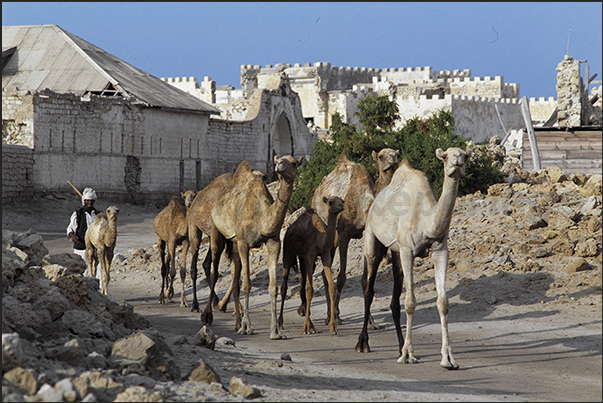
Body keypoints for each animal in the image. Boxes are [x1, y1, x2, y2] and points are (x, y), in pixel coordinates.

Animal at [209, 156, 302, 340]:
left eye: (294, 163)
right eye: (279, 159)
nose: (279, 164)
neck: (263, 216)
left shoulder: (274, 242)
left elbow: (273, 287)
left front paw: (275, 331)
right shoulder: (244, 242)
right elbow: (247, 285)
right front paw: (247, 327)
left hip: (234, 243)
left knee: (234, 276)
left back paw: (236, 322)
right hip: (217, 231)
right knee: (214, 270)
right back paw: (208, 316)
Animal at [280, 197, 344, 336]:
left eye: (341, 200)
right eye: (330, 202)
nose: (341, 206)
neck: (320, 239)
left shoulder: (325, 255)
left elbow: (332, 287)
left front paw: (333, 327)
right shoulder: (310, 255)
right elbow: (310, 290)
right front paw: (308, 327)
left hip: (302, 258)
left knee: (303, 277)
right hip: (288, 253)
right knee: (283, 286)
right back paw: (280, 323)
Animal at [312, 148, 402, 328]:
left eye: (396, 153)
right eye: (381, 156)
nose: (393, 159)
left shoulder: (367, 235)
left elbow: (366, 280)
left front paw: (371, 323)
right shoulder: (344, 235)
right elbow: (341, 277)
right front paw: (337, 316)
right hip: (328, 232)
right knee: (327, 272)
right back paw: (330, 316)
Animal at [354, 147, 472, 370]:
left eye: (466, 155)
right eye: (445, 156)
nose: (457, 161)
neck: (427, 221)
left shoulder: (440, 250)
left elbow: (443, 303)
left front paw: (448, 359)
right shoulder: (408, 250)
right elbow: (409, 302)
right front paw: (408, 355)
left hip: (396, 251)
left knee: (393, 296)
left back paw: (399, 345)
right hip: (372, 239)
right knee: (368, 288)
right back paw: (363, 343)